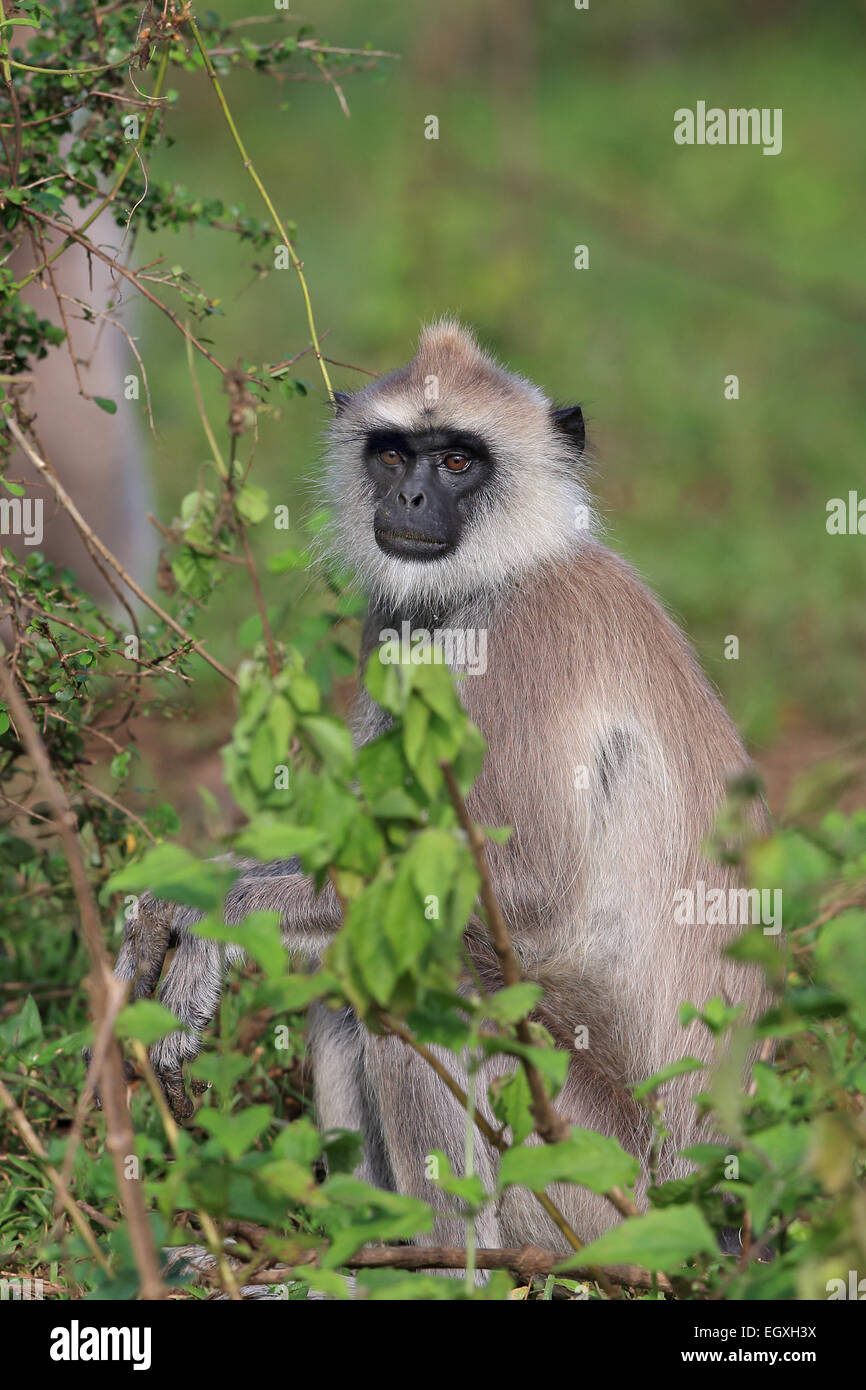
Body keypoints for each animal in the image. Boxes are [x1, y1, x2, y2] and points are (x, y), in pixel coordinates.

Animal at [111, 322, 767, 1251]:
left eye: (458, 461)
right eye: (393, 455)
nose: (412, 498)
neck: (509, 565)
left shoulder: (528, 639)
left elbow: (532, 897)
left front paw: (212, 915)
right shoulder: (395, 626)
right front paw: (181, 900)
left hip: (592, 1180)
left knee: (423, 993)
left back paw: (444, 1260)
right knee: (350, 985)